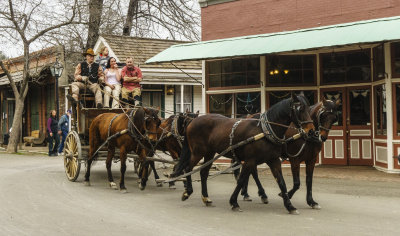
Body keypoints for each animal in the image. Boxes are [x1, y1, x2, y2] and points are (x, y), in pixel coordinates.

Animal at [173, 92, 314, 214]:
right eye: (300, 109)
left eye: (309, 108)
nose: (311, 131)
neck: (264, 131)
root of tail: (192, 121)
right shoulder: (250, 160)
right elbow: (241, 180)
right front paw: (234, 202)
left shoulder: (273, 160)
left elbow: (281, 183)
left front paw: (290, 206)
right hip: (198, 152)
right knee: (188, 168)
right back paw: (188, 192)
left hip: (209, 153)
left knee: (203, 173)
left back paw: (206, 198)